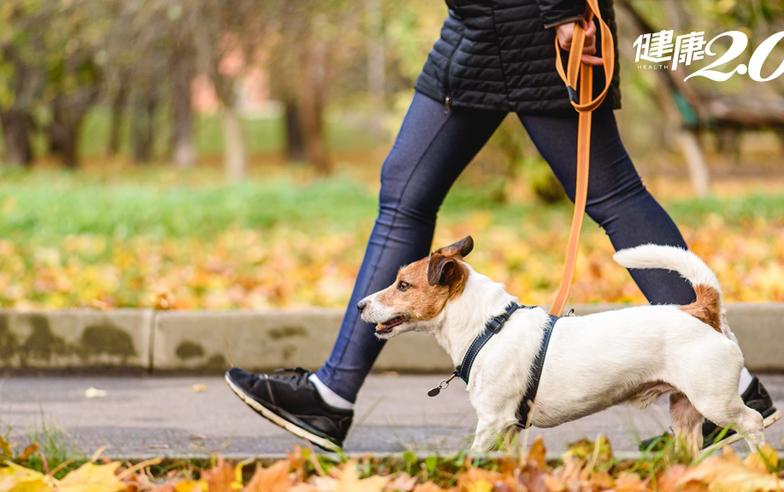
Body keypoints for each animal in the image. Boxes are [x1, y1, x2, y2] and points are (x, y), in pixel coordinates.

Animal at [358, 236, 768, 456]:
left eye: (403, 285)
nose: (360, 304)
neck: (488, 328)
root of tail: (701, 308)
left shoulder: (492, 420)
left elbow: (474, 456)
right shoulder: (509, 429)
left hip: (714, 400)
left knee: (752, 421)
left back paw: (762, 462)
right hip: (685, 412)